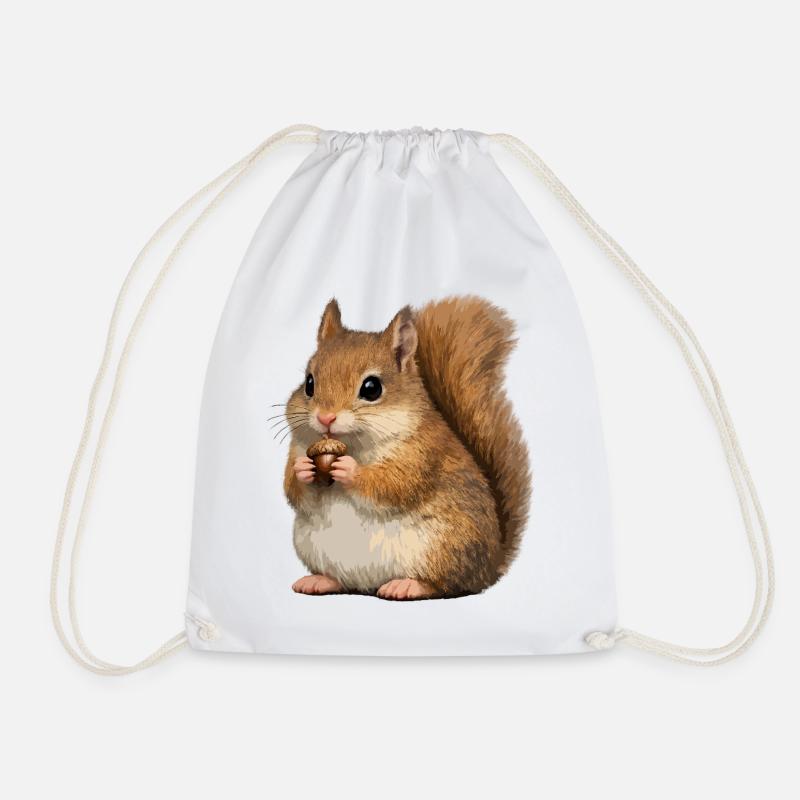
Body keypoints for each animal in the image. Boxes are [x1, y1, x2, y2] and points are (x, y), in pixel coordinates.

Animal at [282, 295, 531, 600]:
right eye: (309, 383)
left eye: (372, 388)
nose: (325, 418)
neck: (354, 445)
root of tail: (491, 566)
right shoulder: (298, 447)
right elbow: (293, 490)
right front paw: (303, 470)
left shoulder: (423, 452)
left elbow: (394, 485)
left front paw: (350, 470)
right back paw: (321, 581)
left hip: (444, 547)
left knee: (447, 585)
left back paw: (408, 585)